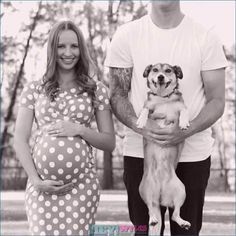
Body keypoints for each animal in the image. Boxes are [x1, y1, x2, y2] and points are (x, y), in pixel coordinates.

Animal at [136, 62, 192, 234]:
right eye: (155, 70)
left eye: (168, 70)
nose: (160, 77)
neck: (163, 99)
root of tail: (161, 196)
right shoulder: (149, 107)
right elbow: (145, 109)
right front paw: (141, 121)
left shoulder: (181, 108)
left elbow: (184, 111)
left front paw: (183, 122)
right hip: (146, 191)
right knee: (150, 209)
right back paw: (153, 219)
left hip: (181, 191)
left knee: (174, 214)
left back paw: (183, 222)